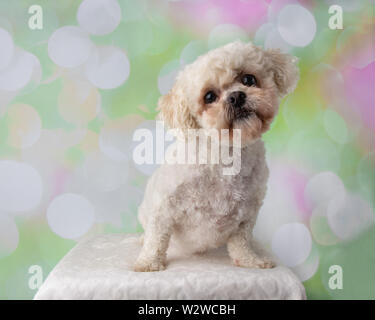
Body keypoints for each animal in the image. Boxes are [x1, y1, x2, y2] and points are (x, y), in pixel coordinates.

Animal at [135, 41, 300, 272]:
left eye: (248, 79)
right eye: (209, 96)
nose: (236, 96)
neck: (226, 157)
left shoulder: (247, 214)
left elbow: (241, 241)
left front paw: (250, 261)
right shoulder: (164, 206)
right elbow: (157, 237)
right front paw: (148, 263)